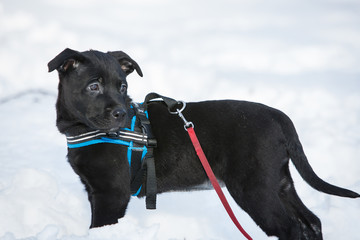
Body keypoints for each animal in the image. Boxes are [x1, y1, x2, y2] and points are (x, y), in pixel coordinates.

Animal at [47, 47, 358, 239]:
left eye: (122, 86)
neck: (83, 130)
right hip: (278, 183)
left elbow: (98, 228)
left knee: (291, 229)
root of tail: (278, 116)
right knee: (311, 223)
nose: (121, 113)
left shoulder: (110, 194)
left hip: (254, 189)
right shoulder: (95, 191)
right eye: (93, 86)